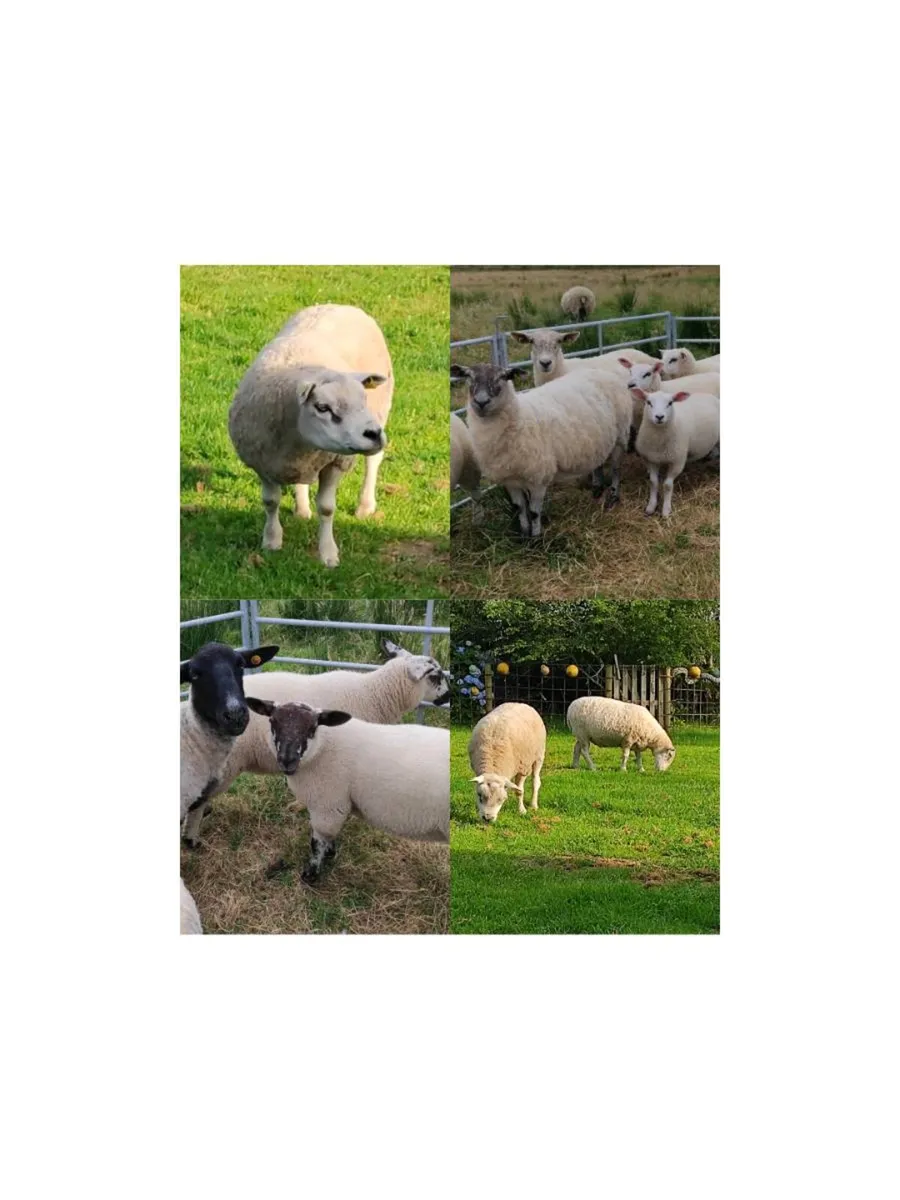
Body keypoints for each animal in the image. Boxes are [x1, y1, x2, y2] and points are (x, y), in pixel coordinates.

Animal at [228, 304, 393, 567]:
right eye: (322, 407)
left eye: (363, 399)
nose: (374, 434)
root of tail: (340, 304)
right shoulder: (262, 463)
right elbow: (270, 502)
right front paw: (272, 541)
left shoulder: (336, 462)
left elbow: (326, 508)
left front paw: (328, 554)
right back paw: (302, 509)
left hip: (382, 410)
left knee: (373, 462)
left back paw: (365, 506)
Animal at [245, 700, 450, 883]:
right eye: (272, 722)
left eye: (312, 728)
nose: (287, 760)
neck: (322, 747)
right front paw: (329, 853)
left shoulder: (327, 804)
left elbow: (318, 840)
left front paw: (311, 873)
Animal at [449, 361, 625, 528]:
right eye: (468, 376)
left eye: (503, 377)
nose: (481, 402)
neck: (520, 416)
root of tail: (600, 371)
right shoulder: (510, 479)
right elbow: (519, 508)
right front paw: (524, 534)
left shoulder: (538, 478)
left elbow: (534, 513)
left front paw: (535, 537)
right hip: (599, 439)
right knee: (598, 463)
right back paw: (597, 489)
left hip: (620, 436)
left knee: (616, 469)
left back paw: (613, 496)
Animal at [633, 387, 720, 518]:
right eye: (648, 402)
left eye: (670, 403)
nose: (659, 417)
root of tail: (709, 395)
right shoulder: (651, 459)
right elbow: (653, 482)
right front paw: (651, 506)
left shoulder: (677, 461)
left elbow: (668, 485)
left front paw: (666, 510)